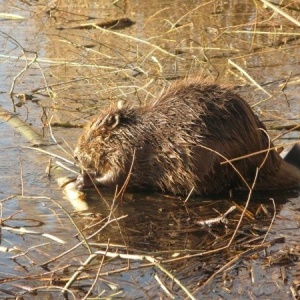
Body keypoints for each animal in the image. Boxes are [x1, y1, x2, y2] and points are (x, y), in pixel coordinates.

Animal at [73, 77, 300, 196]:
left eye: (91, 138)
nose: (75, 155)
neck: (136, 133)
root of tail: (273, 161)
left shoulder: (128, 154)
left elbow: (118, 177)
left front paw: (82, 179)